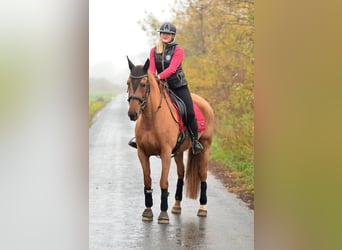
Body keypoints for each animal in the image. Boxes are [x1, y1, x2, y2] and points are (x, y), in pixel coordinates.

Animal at [125, 57, 215, 225]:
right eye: (128, 83)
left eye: (144, 84)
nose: (132, 114)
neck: (151, 118)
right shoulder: (142, 153)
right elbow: (147, 180)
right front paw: (148, 211)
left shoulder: (165, 153)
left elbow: (163, 182)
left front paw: (163, 214)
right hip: (179, 151)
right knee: (181, 173)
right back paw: (176, 205)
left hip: (205, 146)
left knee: (202, 174)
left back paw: (202, 208)